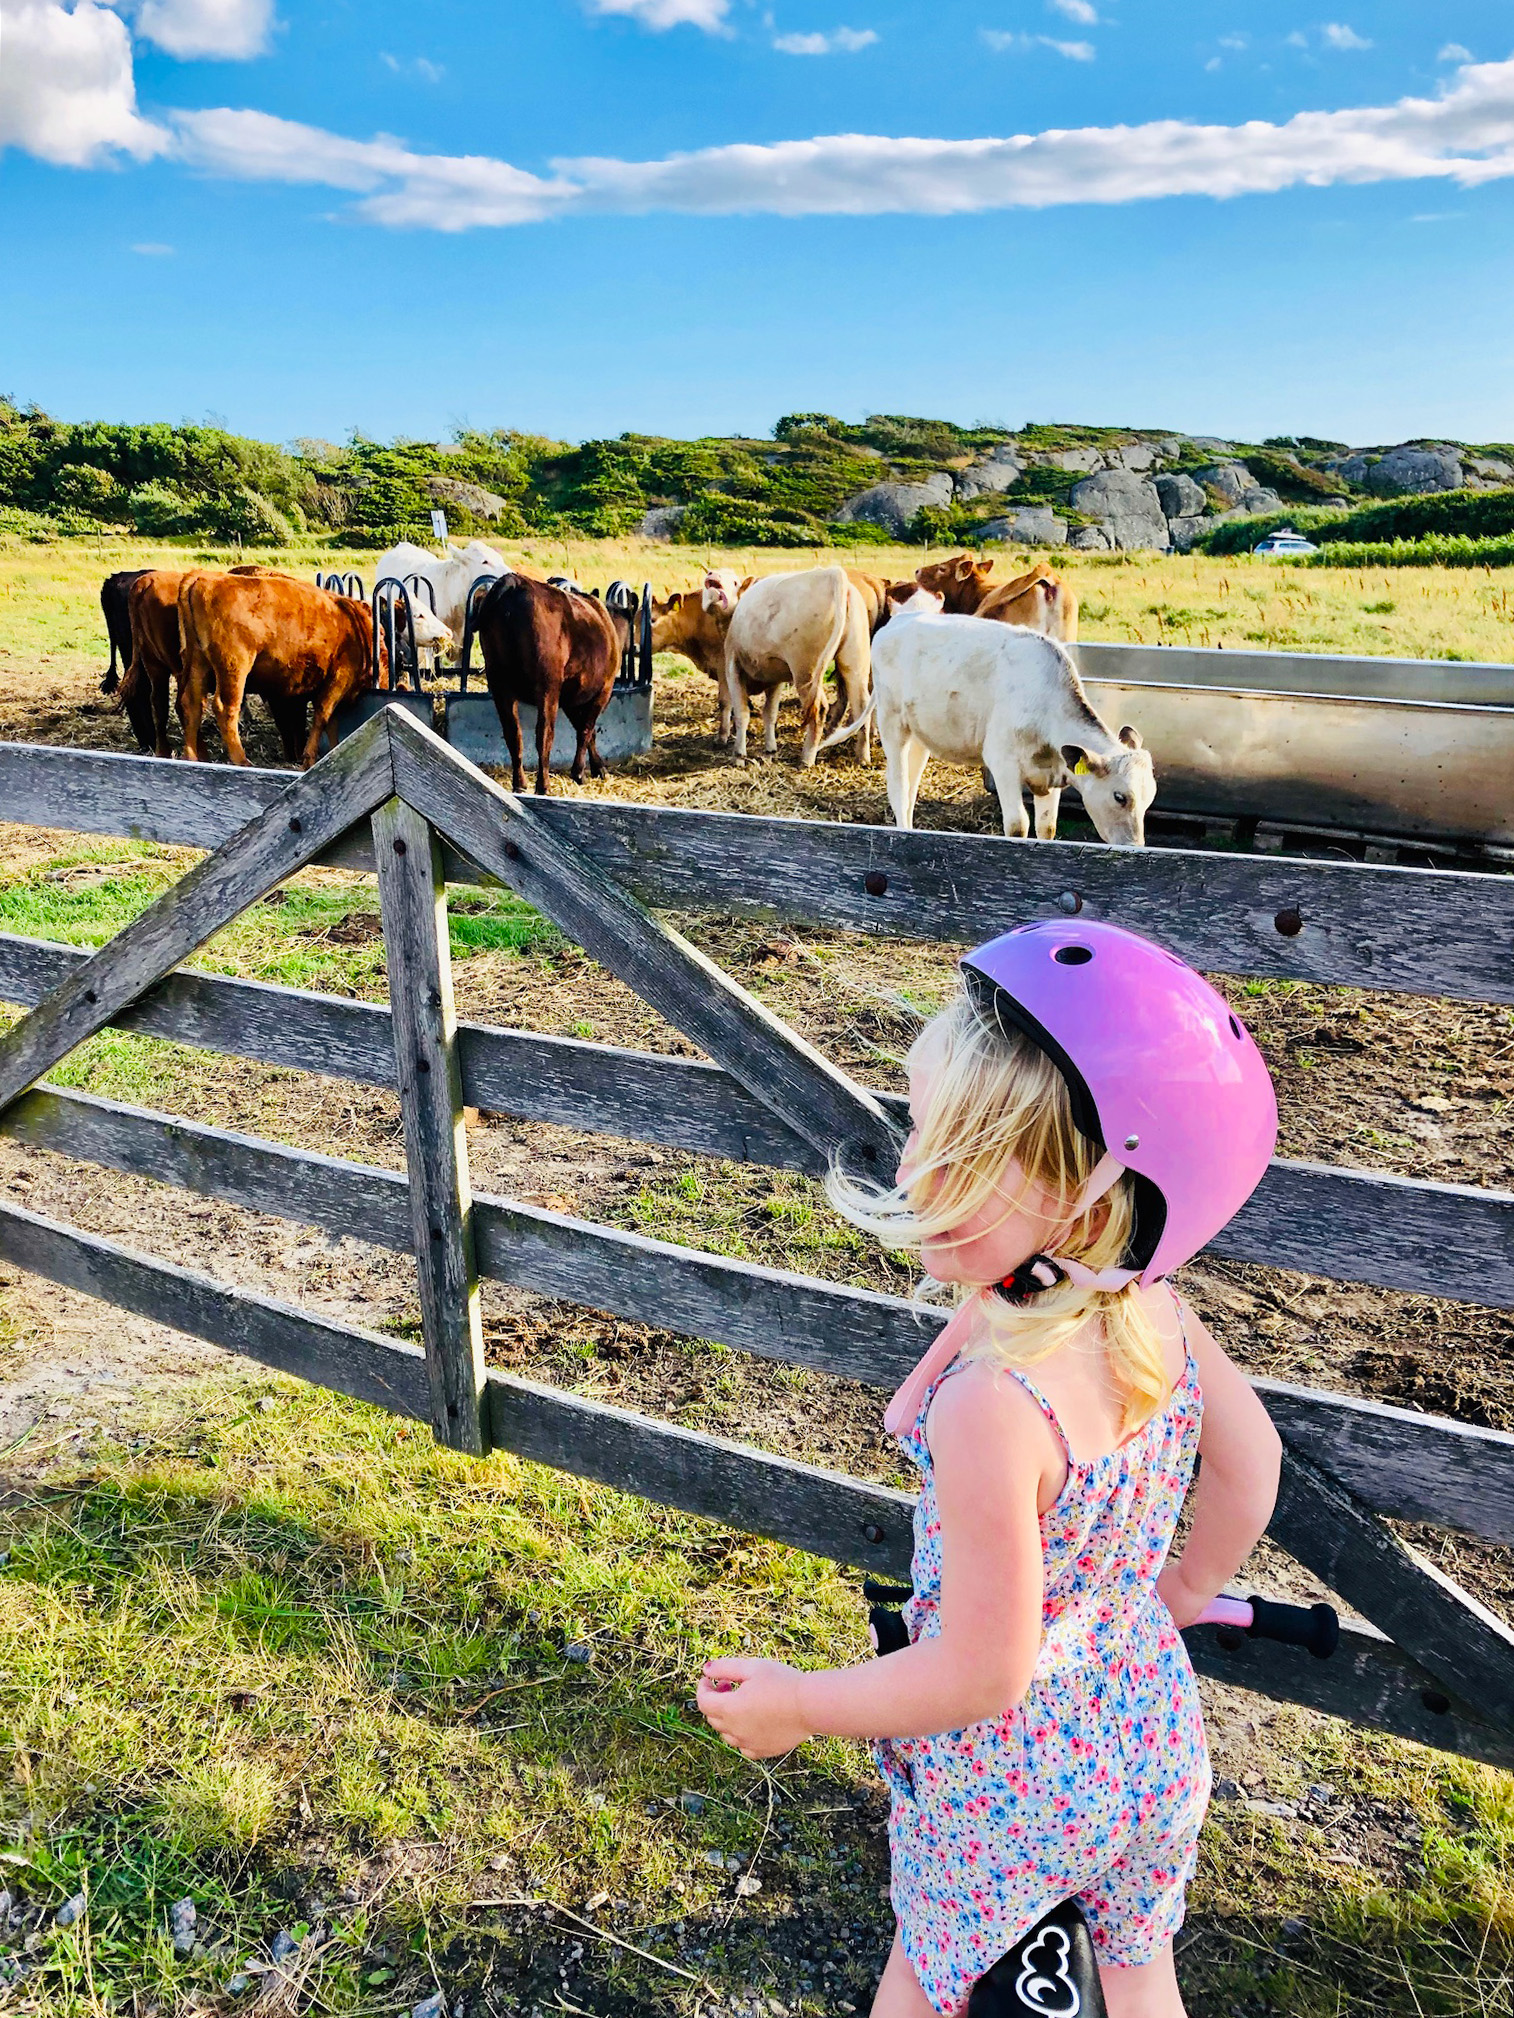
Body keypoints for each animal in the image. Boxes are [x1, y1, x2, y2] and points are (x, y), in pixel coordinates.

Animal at [175, 573, 387, 766]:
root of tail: (204, 578)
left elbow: (331, 721)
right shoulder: (339, 677)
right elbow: (323, 715)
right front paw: (309, 759)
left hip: (198, 664)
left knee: (192, 704)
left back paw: (191, 757)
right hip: (234, 666)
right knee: (225, 707)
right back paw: (242, 760)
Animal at [474, 573, 629, 791]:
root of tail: (515, 581)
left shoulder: (570, 698)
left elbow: (586, 730)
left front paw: (596, 767)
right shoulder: (603, 690)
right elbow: (587, 729)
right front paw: (580, 771)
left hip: (500, 684)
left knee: (514, 734)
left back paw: (520, 784)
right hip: (547, 687)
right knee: (544, 734)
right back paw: (543, 785)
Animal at [726, 573, 876, 766]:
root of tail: (831, 573)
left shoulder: (732, 667)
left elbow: (742, 713)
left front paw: (738, 755)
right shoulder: (775, 679)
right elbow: (770, 713)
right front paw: (770, 749)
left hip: (805, 671)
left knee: (820, 709)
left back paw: (806, 758)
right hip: (854, 664)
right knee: (861, 706)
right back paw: (862, 757)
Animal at [823, 589, 1154, 851]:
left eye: (1150, 797)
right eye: (1120, 797)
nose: (1134, 847)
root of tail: (899, 620)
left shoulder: (1053, 776)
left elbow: (1047, 828)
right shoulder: (1002, 761)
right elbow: (1018, 826)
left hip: (921, 731)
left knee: (911, 786)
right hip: (892, 722)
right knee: (898, 786)